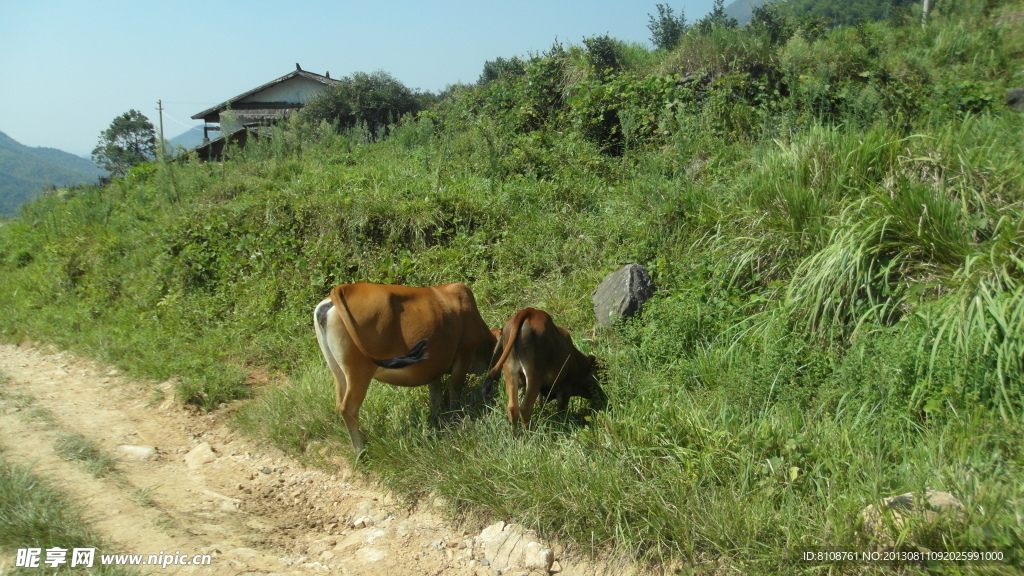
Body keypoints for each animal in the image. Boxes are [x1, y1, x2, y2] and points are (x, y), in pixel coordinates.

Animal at [315, 280, 499, 450]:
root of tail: (344, 288)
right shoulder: (464, 354)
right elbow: (455, 390)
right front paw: (455, 418)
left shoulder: (434, 368)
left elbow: (435, 397)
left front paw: (437, 421)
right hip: (359, 372)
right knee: (349, 408)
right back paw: (360, 450)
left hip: (338, 370)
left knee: (339, 402)